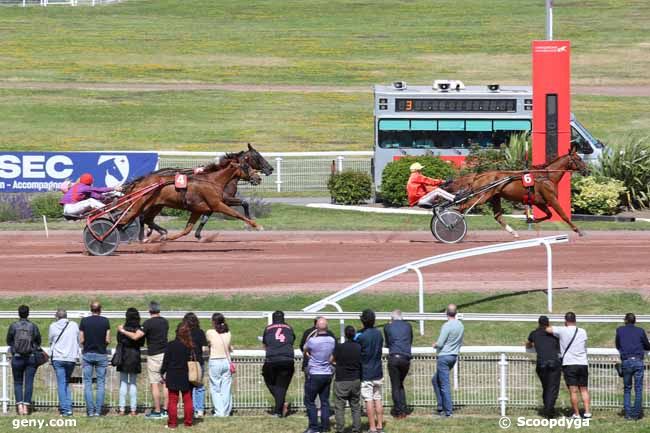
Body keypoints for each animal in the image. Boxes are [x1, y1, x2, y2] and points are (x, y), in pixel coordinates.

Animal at [120, 160, 262, 241]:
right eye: (246, 166)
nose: (258, 178)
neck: (212, 181)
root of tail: (141, 182)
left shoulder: (199, 209)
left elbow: (188, 228)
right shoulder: (218, 204)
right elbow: (237, 214)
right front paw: (256, 225)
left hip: (156, 205)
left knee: (146, 219)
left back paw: (159, 233)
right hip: (142, 204)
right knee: (134, 217)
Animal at [442, 148, 588, 236]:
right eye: (579, 159)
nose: (587, 170)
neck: (546, 176)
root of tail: (479, 175)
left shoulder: (539, 202)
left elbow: (549, 215)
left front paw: (530, 219)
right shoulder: (551, 199)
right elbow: (563, 215)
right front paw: (578, 230)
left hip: (494, 197)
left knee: (497, 216)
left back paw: (513, 232)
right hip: (482, 197)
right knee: (462, 207)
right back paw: (452, 225)